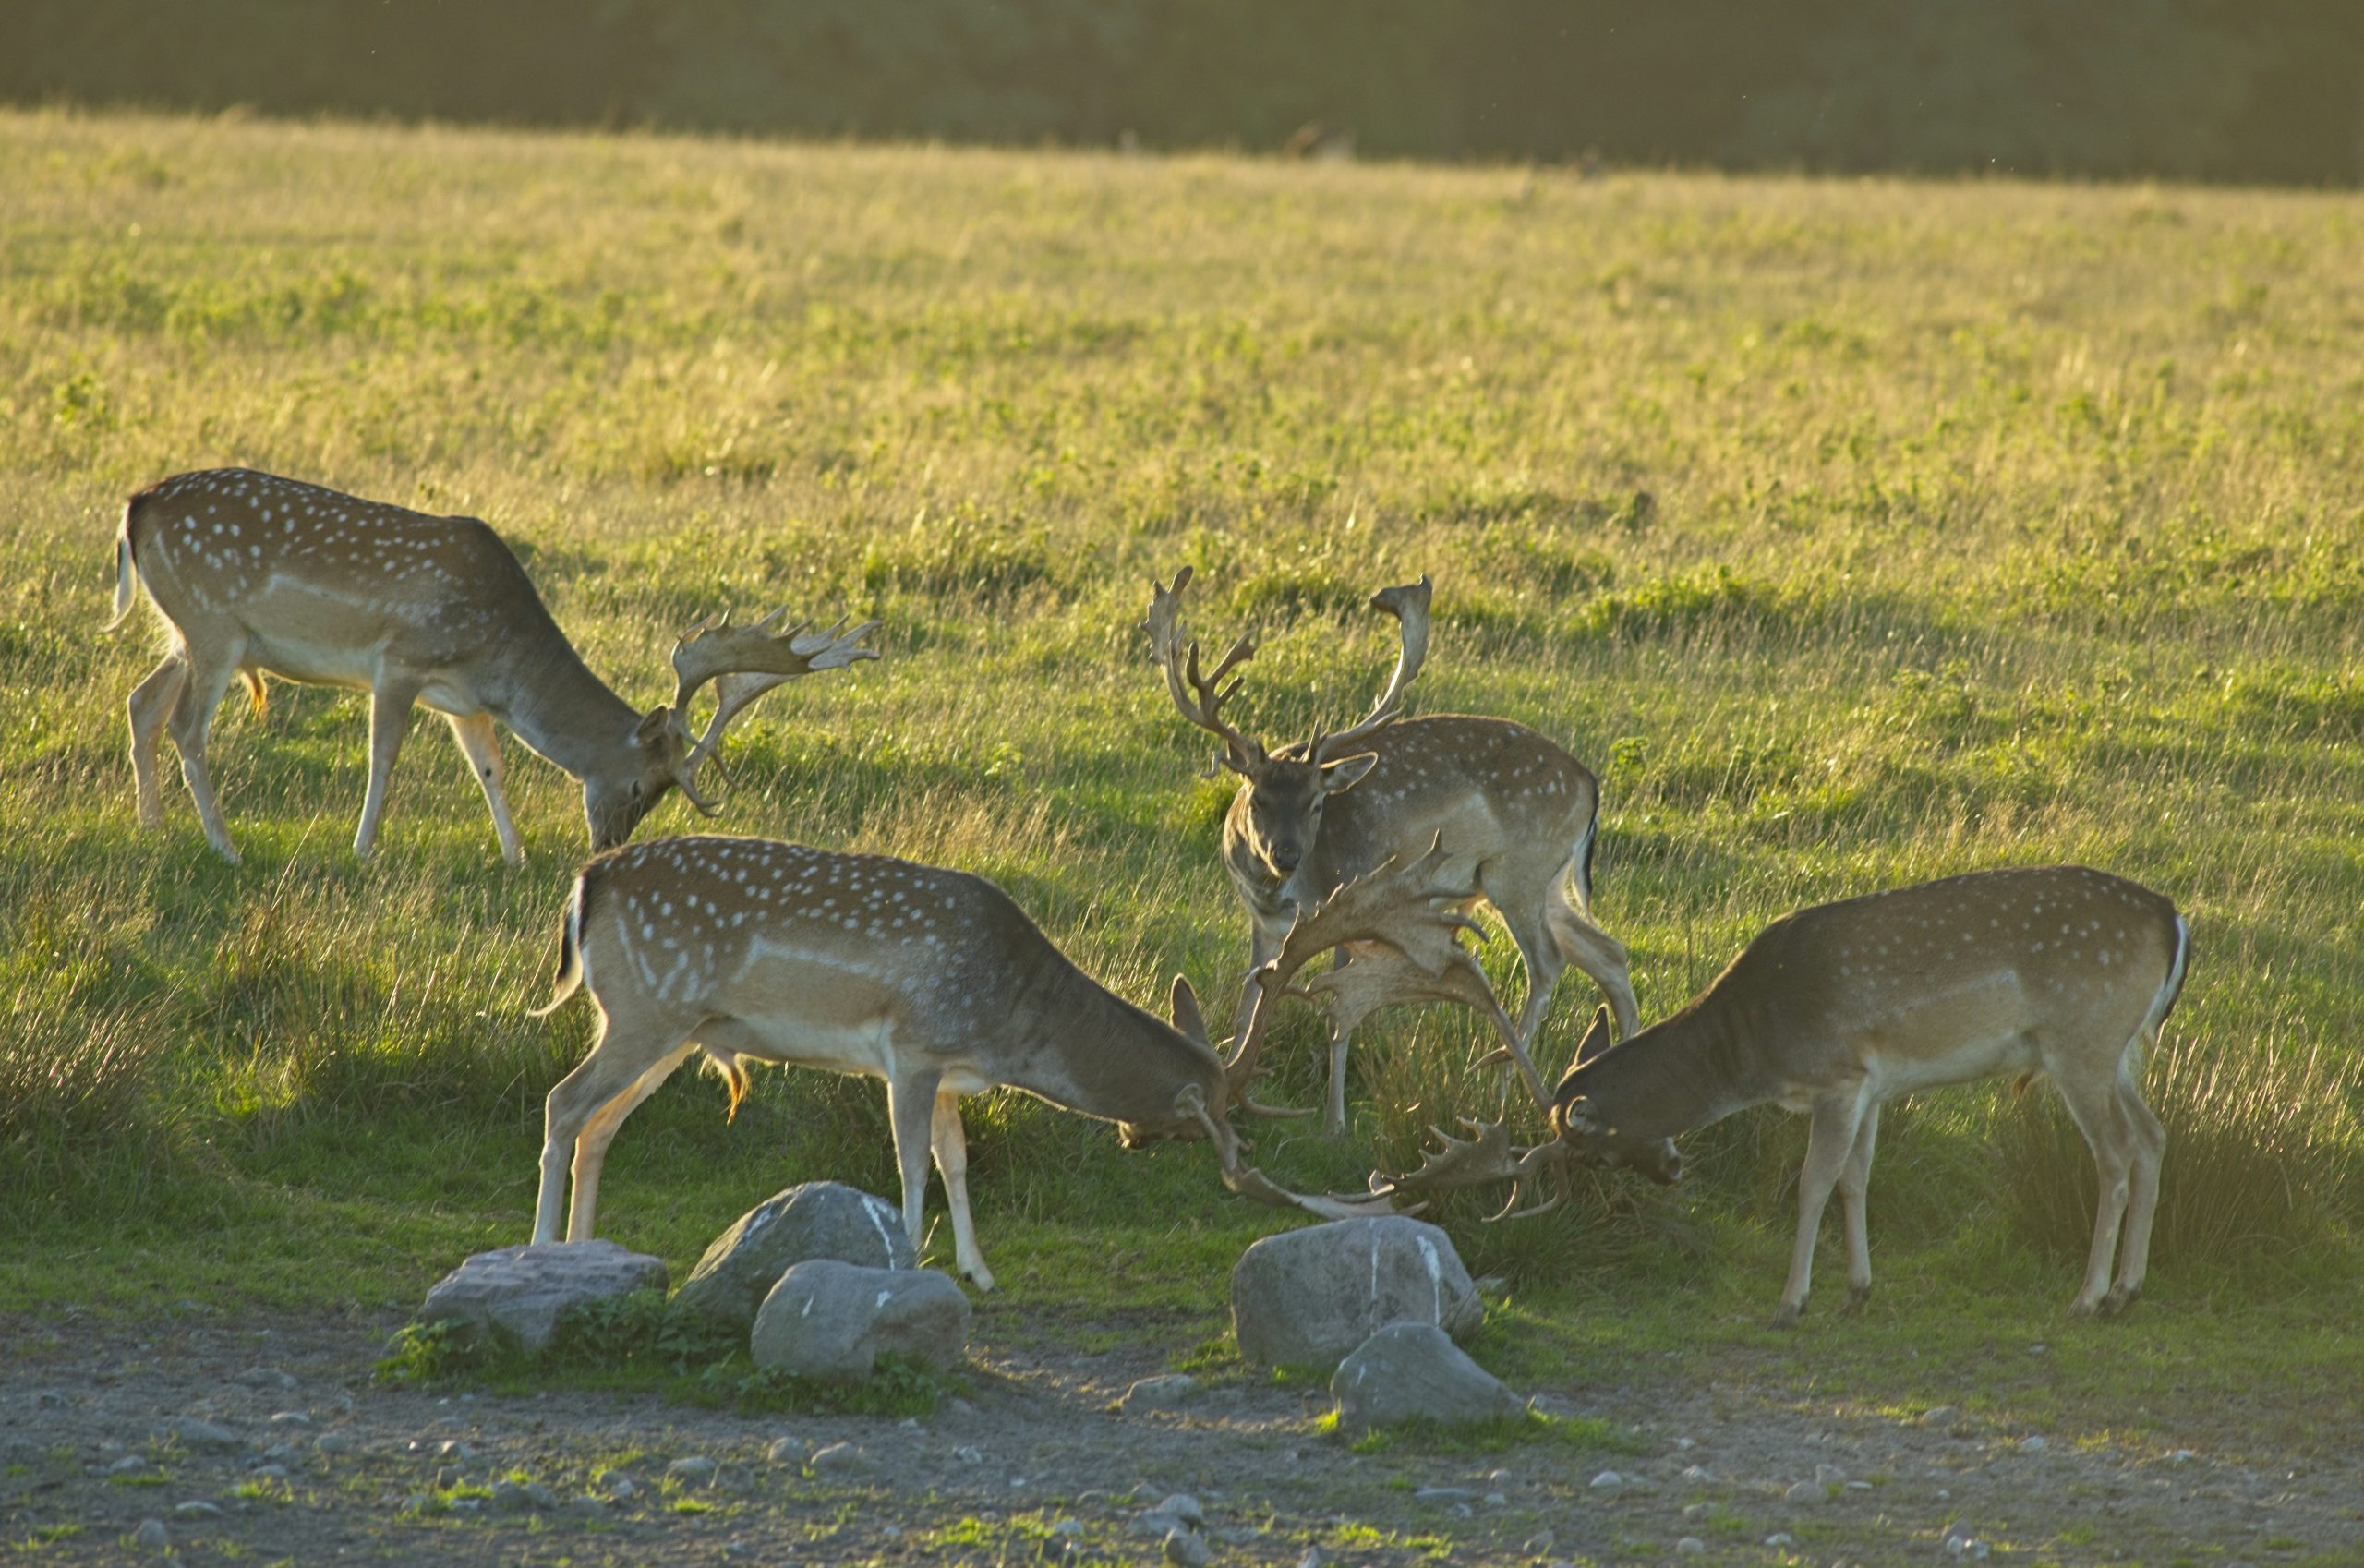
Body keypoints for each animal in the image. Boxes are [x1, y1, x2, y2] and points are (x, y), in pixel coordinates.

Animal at [106, 468, 876, 865]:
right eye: (638, 785)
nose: (605, 849)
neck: (501, 655)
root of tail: (134, 506)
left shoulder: (466, 699)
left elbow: (491, 768)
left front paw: (516, 854)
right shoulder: (400, 660)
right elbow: (384, 755)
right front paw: (363, 848)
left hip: (189, 631)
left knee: (142, 702)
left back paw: (151, 827)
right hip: (212, 625)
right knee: (186, 725)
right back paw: (224, 845)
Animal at [526, 834, 1483, 1288]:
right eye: (1202, 1120)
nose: (1134, 1138)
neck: (1011, 1018)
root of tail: (584, 883)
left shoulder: (953, 1072)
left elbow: (955, 1158)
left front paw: (977, 1270)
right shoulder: (912, 1047)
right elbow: (911, 1164)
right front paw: (910, 1266)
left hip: (674, 1028)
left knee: (599, 1122)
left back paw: (586, 1252)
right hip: (645, 1009)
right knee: (563, 1104)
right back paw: (537, 1249)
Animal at [1145, 566, 1638, 1135]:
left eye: (1317, 803)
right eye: (1258, 797)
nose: (1286, 856)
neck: (1279, 891)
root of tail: (1590, 784)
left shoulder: (1345, 902)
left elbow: (1335, 1008)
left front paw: (1333, 1121)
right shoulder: (1263, 924)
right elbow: (1250, 1001)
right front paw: (1229, 1081)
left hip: (1518, 872)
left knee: (1547, 962)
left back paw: (1499, 1089)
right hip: (1549, 883)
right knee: (1609, 953)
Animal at [1374, 866, 2190, 1324]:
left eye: (1593, 1154)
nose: (1672, 1170)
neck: (1753, 1045)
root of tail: (2174, 919)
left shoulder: (1838, 1074)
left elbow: (1811, 1184)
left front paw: (1790, 1302)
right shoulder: (1873, 1086)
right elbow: (1857, 1180)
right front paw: (1856, 1292)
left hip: (2080, 1039)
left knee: (2116, 1155)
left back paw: (2088, 1297)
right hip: (2119, 1050)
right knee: (2154, 1138)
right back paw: (2128, 1292)